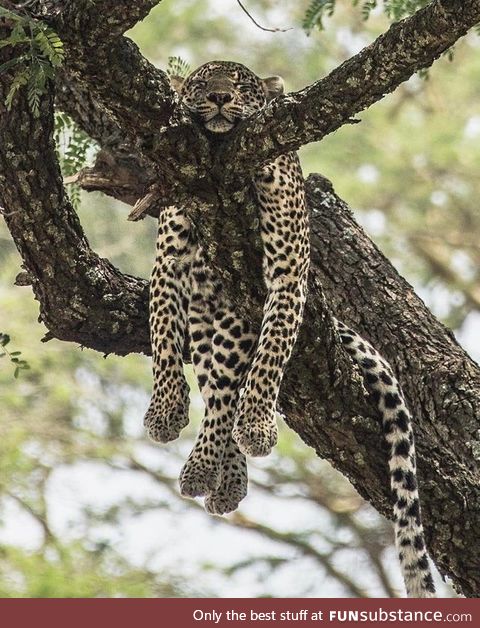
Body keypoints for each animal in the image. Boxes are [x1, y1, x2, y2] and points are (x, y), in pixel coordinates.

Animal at [142, 60, 436, 600]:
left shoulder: (281, 278)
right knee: (213, 382)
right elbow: (164, 342)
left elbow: (268, 358)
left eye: (240, 84)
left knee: (225, 388)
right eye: (201, 83)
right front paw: (166, 411)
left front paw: (255, 426)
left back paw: (212, 467)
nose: (219, 98)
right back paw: (222, 474)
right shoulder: (170, 266)